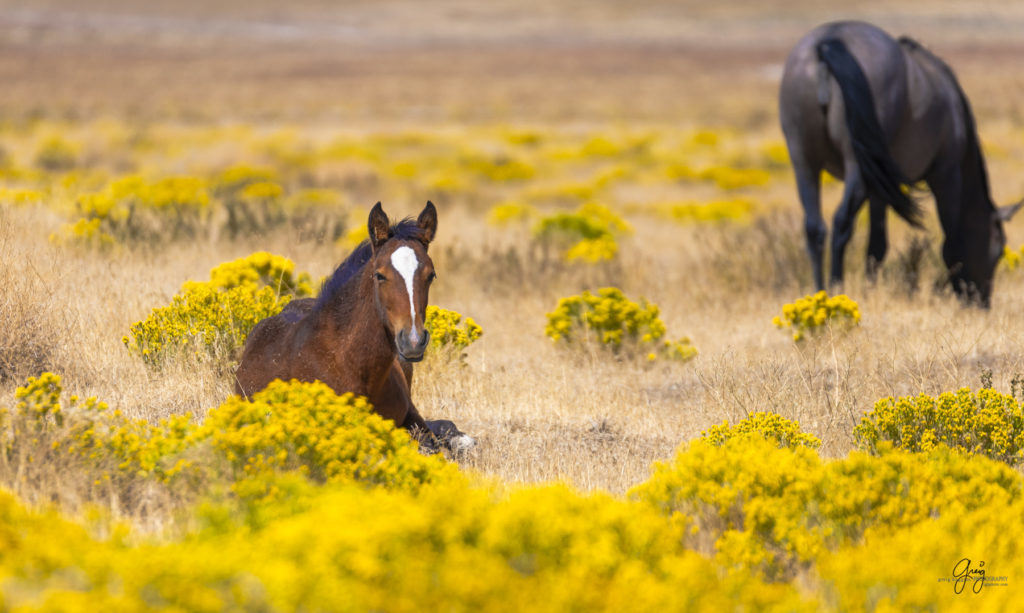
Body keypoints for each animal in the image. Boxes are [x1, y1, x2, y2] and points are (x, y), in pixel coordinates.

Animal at [778, 19, 1019, 307]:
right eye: (998, 250)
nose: (981, 303)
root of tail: (828, 41)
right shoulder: (945, 174)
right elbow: (947, 240)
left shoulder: (879, 189)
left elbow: (876, 245)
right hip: (856, 168)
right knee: (841, 223)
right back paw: (837, 288)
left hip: (804, 163)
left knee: (815, 229)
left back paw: (820, 292)